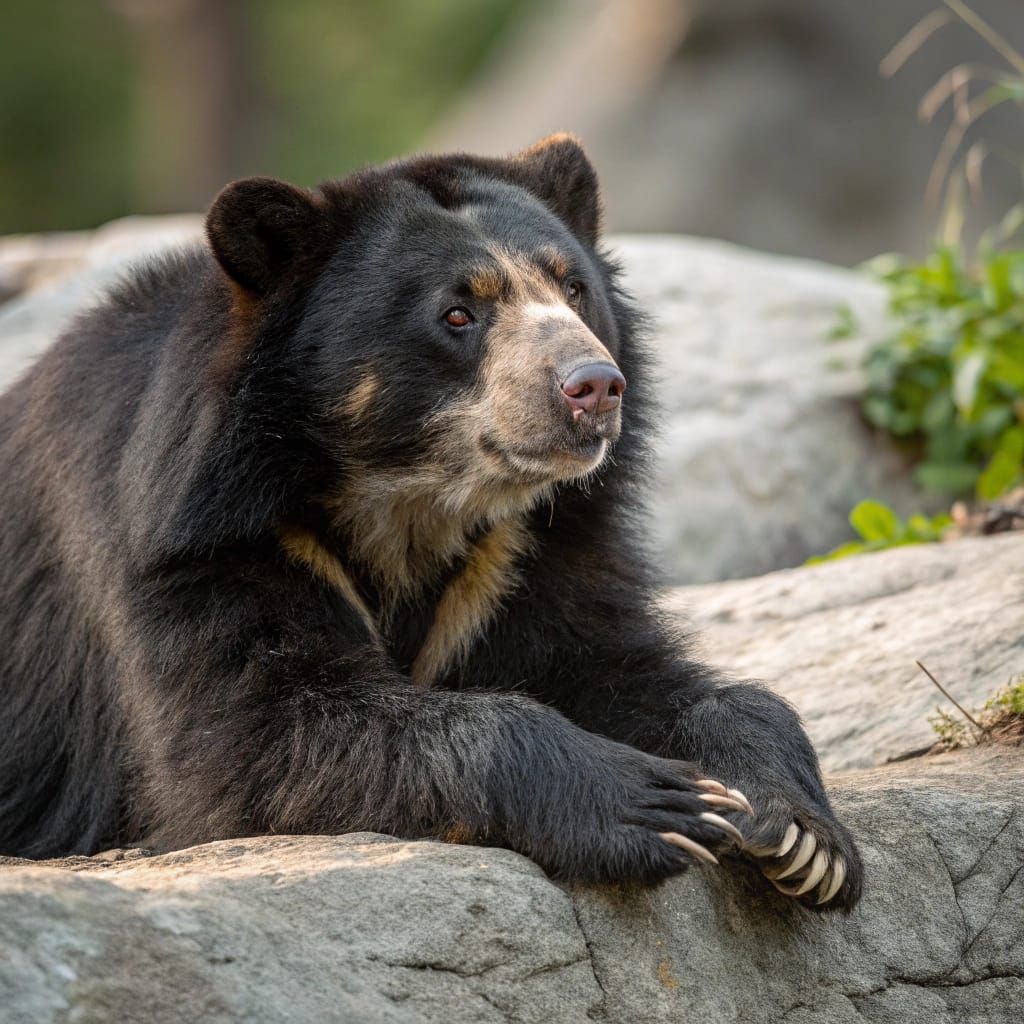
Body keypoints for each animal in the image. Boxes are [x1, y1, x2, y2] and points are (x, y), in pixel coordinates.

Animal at [0, 135, 862, 910]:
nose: (593, 386)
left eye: (573, 288)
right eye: (457, 313)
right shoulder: (197, 540)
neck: (413, 496)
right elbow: (250, 738)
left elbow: (614, 666)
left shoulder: (526, 551)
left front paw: (800, 838)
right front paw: (648, 802)